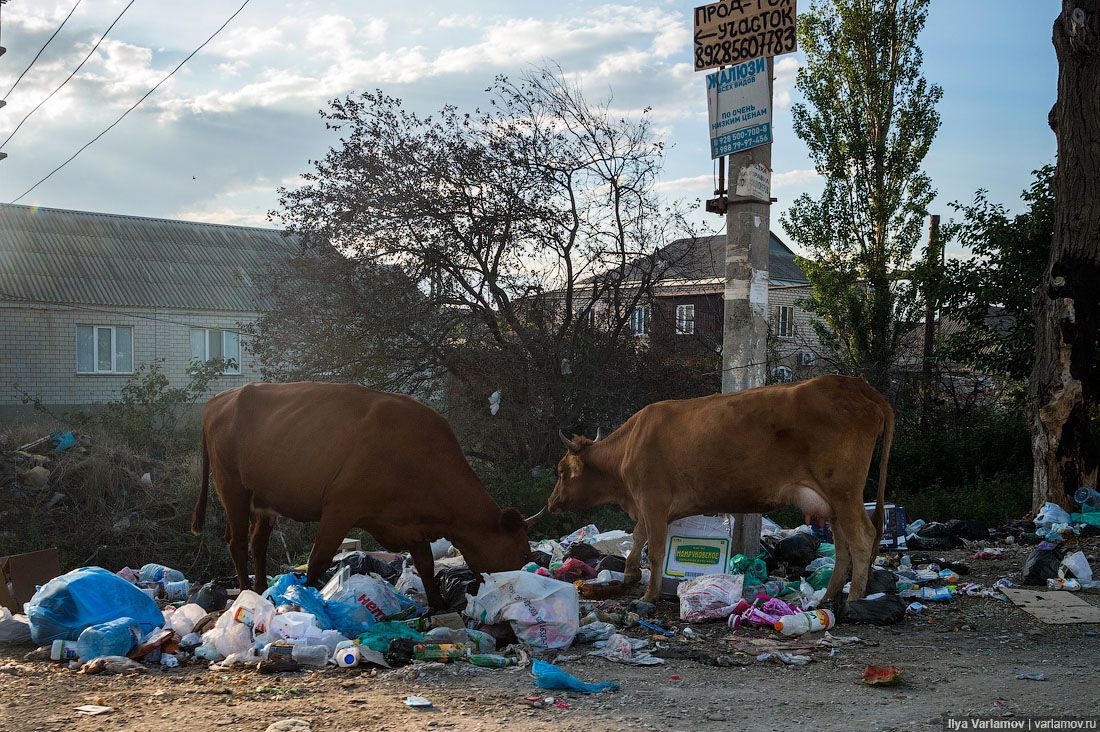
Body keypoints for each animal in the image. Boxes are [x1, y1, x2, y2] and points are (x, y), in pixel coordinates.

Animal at [193, 378, 536, 607]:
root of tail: (220, 399)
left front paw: (437, 607)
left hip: (264, 501)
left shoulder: (411, 522)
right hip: (233, 488)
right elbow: (318, 560)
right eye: (522, 552)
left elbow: (426, 565)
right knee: (237, 542)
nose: (525, 589)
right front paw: (308, 600)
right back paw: (247, 590)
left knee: (257, 543)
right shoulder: (340, 506)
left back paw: (263, 588)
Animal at [545, 374, 888, 603]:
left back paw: (854, 599)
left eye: (561, 471)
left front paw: (649, 595)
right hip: (831, 503)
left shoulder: (653, 500)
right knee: (843, 546)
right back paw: (829, 597)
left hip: (844, 492)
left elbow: (654, 550)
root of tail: (853, 384)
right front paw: (630, 573)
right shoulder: (647, 505)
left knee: (863, 539)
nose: (550, 503)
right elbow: (639, 535)